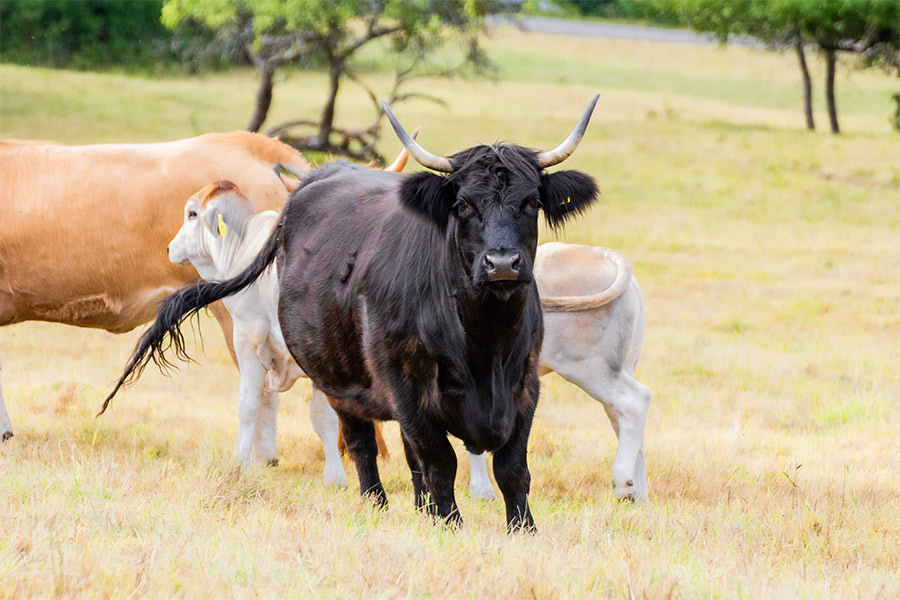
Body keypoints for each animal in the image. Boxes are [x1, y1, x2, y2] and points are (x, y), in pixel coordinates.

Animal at [103, 96, 602, 532]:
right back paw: (376, 504)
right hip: (335, 377)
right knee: (363, 444)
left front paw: (523, 530)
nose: (501, 264)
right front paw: (449, 525)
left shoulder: (524, 384)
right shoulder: (408, 385)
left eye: (531, 203)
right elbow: (439, 461)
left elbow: (511, 468)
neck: (484, 339)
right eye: (463, 205)